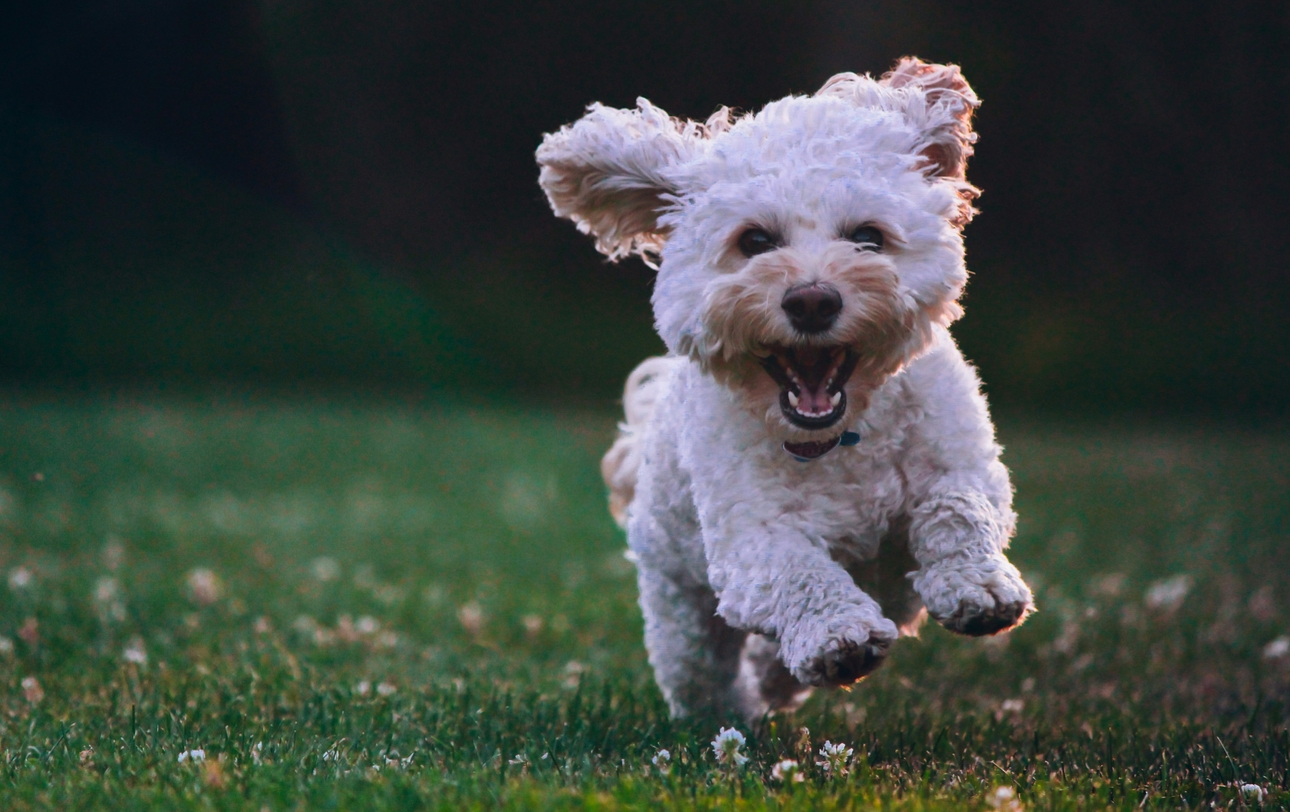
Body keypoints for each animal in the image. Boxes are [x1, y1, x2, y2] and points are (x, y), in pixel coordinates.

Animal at [539, 58, 1032, 722]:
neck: (841, 438)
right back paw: (735, 712)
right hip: (679, 603)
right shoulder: (750, 539)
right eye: (754, 241)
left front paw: (978, 585)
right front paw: (837, 636)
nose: (813, 300)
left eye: (868, 237)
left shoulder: (963, 461)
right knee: (700, 670)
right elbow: (799, 571)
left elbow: (957, 507)